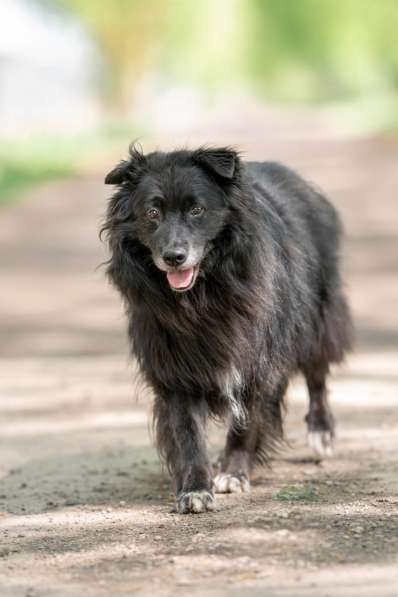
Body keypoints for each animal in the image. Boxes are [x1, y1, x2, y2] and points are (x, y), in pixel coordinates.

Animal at [102, 144, 352, 512]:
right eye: (152, 213)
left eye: (196, 210)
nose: (174, 257)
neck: (203, 294)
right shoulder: (174, 366)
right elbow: (187, 432)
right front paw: (194, 489)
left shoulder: (260, 358)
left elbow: (246, 421)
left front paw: (234, 474)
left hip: (317, 314)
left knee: (317, 374)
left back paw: (321, 433)